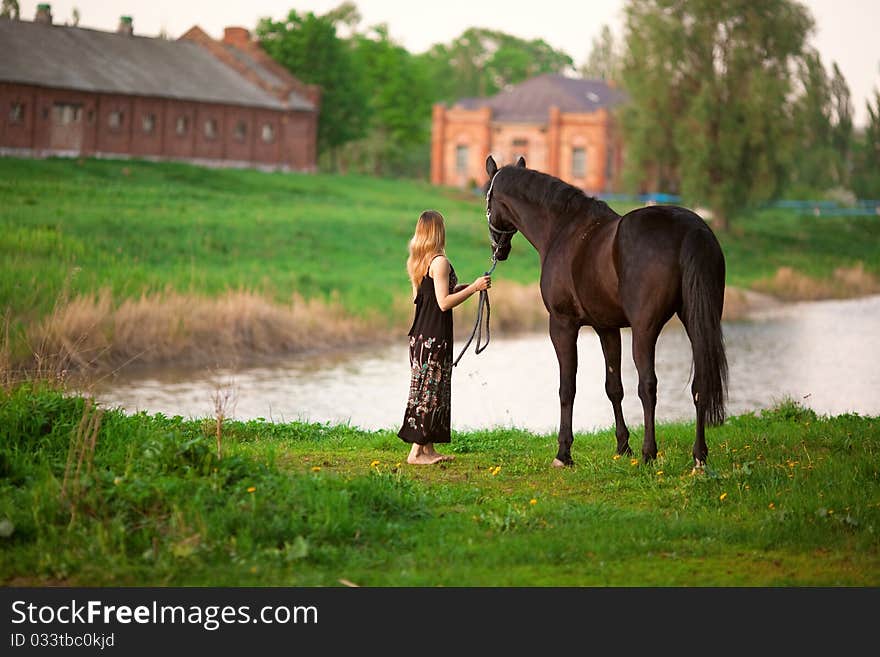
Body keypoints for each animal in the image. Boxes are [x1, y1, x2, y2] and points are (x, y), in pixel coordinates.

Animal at [484, 156, 724, 468]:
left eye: (487, 198)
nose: (498, 251)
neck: (563, 229)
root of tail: (690, 229)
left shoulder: (562, 324)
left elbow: (567, 388)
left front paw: (563, 453)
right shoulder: (607, 328)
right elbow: (614, 387)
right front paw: (623, 446)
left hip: (645, 329)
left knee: (648, 385)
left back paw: (649, 453)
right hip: (698, 322)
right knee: (700, 383)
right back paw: (699, 456)